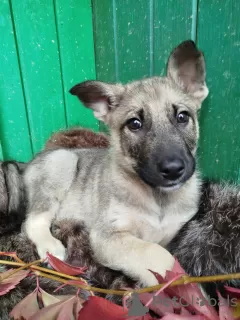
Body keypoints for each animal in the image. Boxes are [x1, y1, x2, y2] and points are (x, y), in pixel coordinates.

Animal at [23, 40, 208, 288]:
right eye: (135, 124)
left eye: (182, 117)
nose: (173, 170)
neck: (158, 198)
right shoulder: (107, 236)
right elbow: (157, 255)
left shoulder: (175, 229)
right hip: (62, 162)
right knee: (33, 220)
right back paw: (51, 247)